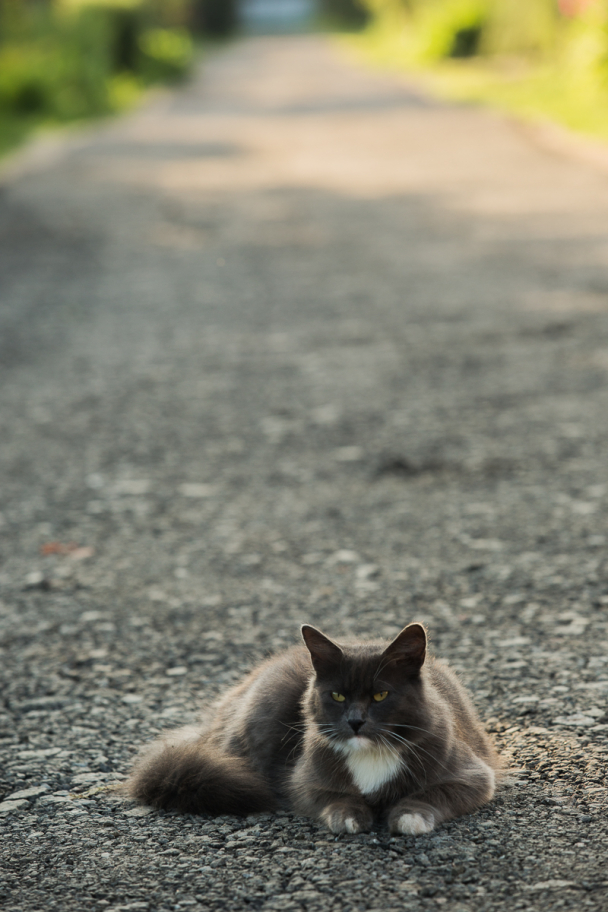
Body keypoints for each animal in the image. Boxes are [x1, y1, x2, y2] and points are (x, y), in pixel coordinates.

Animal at [127, 624, 498, 832]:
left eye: (381, 695)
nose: (355, 721)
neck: (371, 755)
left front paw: (410, 816)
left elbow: (433, 792)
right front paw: (348, 817)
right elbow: (333, 797)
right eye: (337, 695)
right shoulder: (303, 779)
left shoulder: (473, 775)